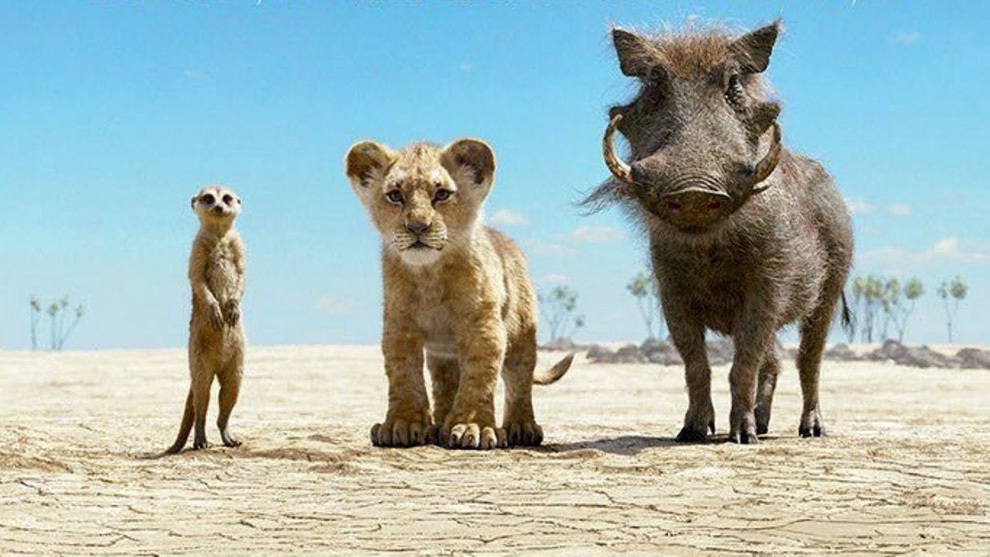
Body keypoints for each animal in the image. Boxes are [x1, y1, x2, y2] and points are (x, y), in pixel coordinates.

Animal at [344, 139, 573, 450]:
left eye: (442, 194)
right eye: (394, 195)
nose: (417, 226)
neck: (429, 274)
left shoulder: (482, 325)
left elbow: (479, 376)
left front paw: (472, 427)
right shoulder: (399, 326)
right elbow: (403, 375)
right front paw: (402, 424)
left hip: (522, 336)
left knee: (519, 380)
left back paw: (522, 427)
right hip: (443, 354)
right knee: (445, 384)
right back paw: (439, 426)